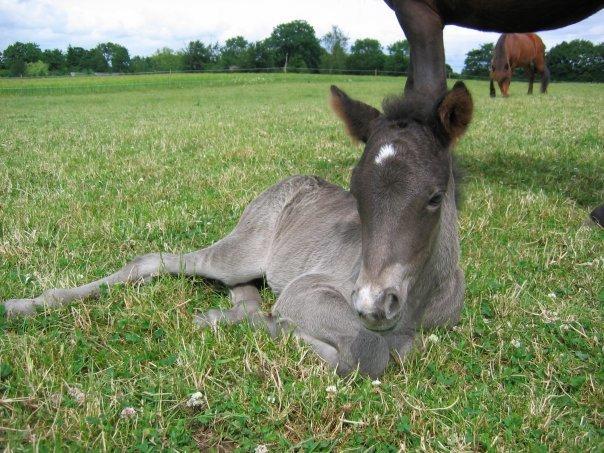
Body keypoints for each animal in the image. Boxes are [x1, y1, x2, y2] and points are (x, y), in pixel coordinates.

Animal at [2, 82, 474, 378]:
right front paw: (290, 329)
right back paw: (25, 305)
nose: (373, 304)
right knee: (158, 261)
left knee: (243, 294)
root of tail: (287, 183)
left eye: (434, 197)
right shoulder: (308, 289)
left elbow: (399, 347)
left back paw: (231, 316)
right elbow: (369, 353)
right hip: (240, 252)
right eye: (355, 191)